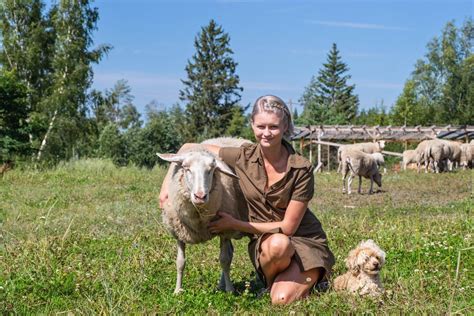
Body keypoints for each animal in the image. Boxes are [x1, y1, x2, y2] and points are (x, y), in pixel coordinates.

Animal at [156, 138, 252, 294]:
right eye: (186, 168)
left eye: (211, 170)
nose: (200, 196)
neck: (198, 218)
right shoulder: (179, 233)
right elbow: (180, 262)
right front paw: (177, 290)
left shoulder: (225, 230)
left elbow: (224, 260)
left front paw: (230, 290)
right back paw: (220, 285)